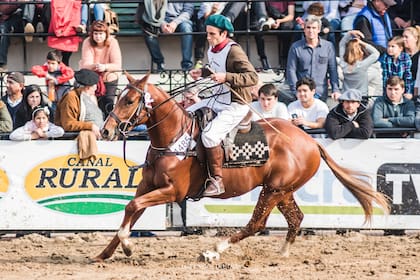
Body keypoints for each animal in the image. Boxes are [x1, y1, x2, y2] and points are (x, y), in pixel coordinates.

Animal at [96, 72, 390, 262]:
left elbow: (133, 208)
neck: (174, 138)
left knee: (256, 224)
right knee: (295, 219)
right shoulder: (147, 186)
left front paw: (128, 248)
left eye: (130, 101)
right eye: (119, 97)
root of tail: (310, 141)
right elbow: (131, 210)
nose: (106, 130)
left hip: (272, 191)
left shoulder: (172, 192)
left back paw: (213, 250)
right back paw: (282, 253)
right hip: (283, 191)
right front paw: (106, 252)